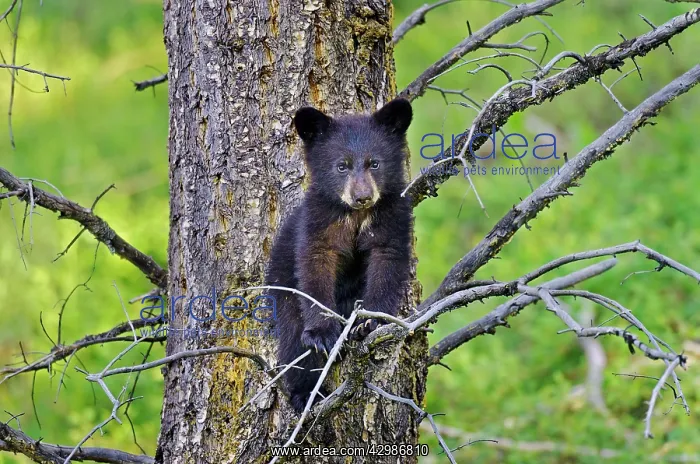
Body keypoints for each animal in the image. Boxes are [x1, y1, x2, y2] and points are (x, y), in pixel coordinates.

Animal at [264, 98, 414, 413]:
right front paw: (323, 333)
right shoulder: (319, 220)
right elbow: (315, 265)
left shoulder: (392, 217)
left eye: (375, 163)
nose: (362, 197)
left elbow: (387, 262)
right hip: (282, 287)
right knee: (293, 342)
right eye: (341, 166)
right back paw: (306, 393)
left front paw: (371, 322)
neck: (356, 217)